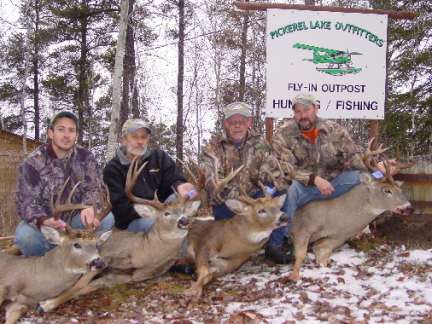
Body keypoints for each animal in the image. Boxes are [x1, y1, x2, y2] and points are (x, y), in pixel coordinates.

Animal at [286, 140, 416, 282]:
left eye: (400, 189)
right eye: (387, 190)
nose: (409, 208)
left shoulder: (338, 237)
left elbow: (322, 253)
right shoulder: (301, 228)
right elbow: (301, 253)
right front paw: (294, 276)